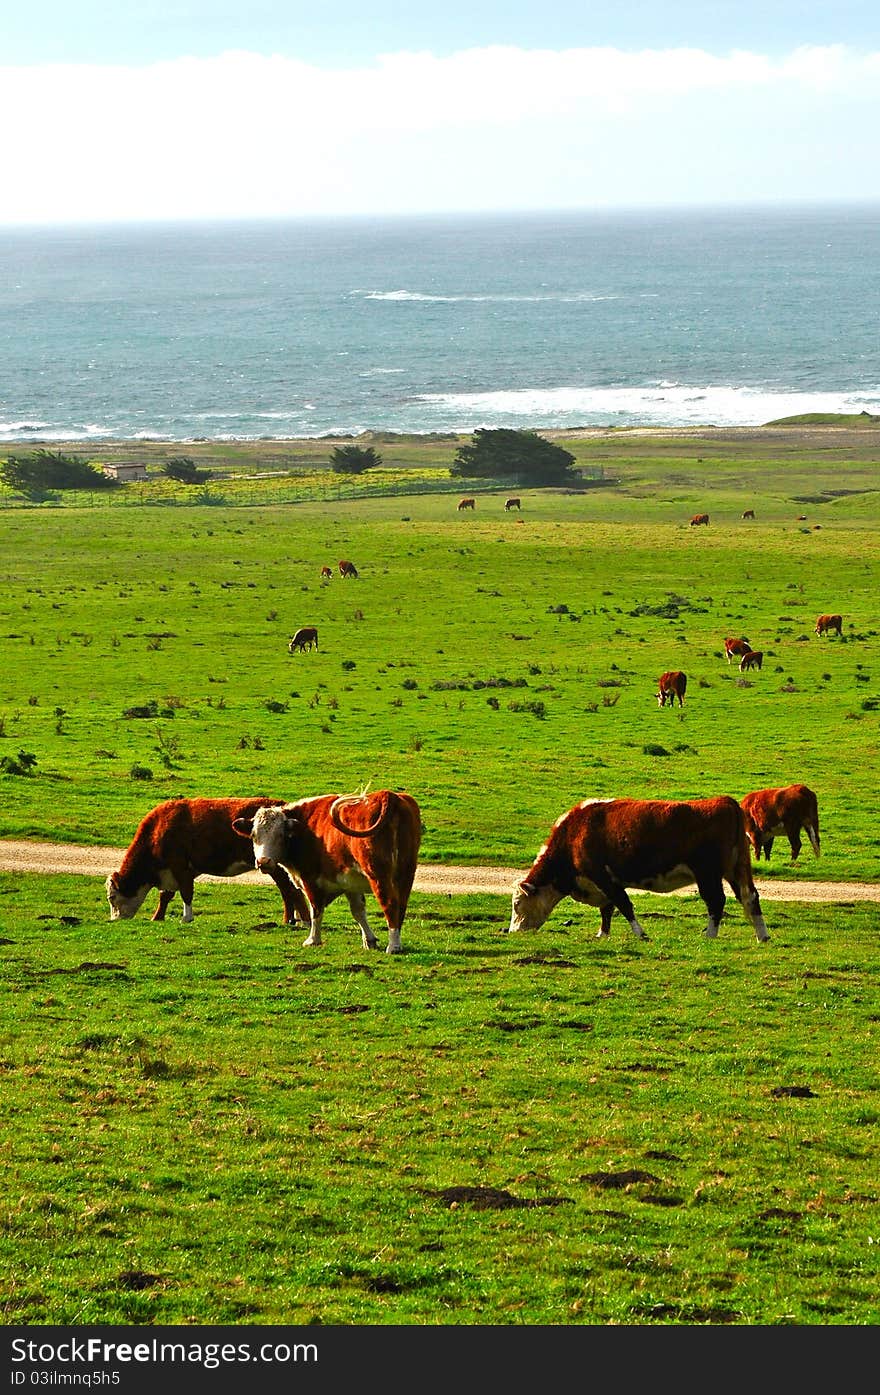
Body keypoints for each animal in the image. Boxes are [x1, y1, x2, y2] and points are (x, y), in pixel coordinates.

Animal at [105, 797, 309, 926]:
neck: (157, 831)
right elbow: (166, 895)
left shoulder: (180, 866)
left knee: (290, 891)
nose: (114, 920)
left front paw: (186, 918)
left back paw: (292, 920)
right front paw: (157, 917)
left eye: (111, 897)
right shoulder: (174, 871)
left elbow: (186, 893)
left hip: (274, 866)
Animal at [230, 792, 423, 954]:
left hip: (378, 876)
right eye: (254, 835)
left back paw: (394, 946)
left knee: (390, 904)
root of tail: (387, 795)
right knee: (401, 906)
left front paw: (313, 939)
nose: (263, 861)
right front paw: (369, 940)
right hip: (406, 874)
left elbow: (315, 909)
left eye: (280, 835)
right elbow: (358, 911)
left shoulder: (310, 878)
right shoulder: (349, 881)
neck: (305, 827)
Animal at [510, 803, 769, 943]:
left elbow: (624, 905)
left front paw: (640, 934)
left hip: (708, 874)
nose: (513, 931)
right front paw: (602, 934)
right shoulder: (606, 883)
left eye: (517, 904)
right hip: (736, 870)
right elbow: (608, 909)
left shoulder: (603, 877)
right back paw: (762, 935)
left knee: (716, 901)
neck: (575, 832)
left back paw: (710, 935)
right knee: (750, 897)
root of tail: (725, 802)